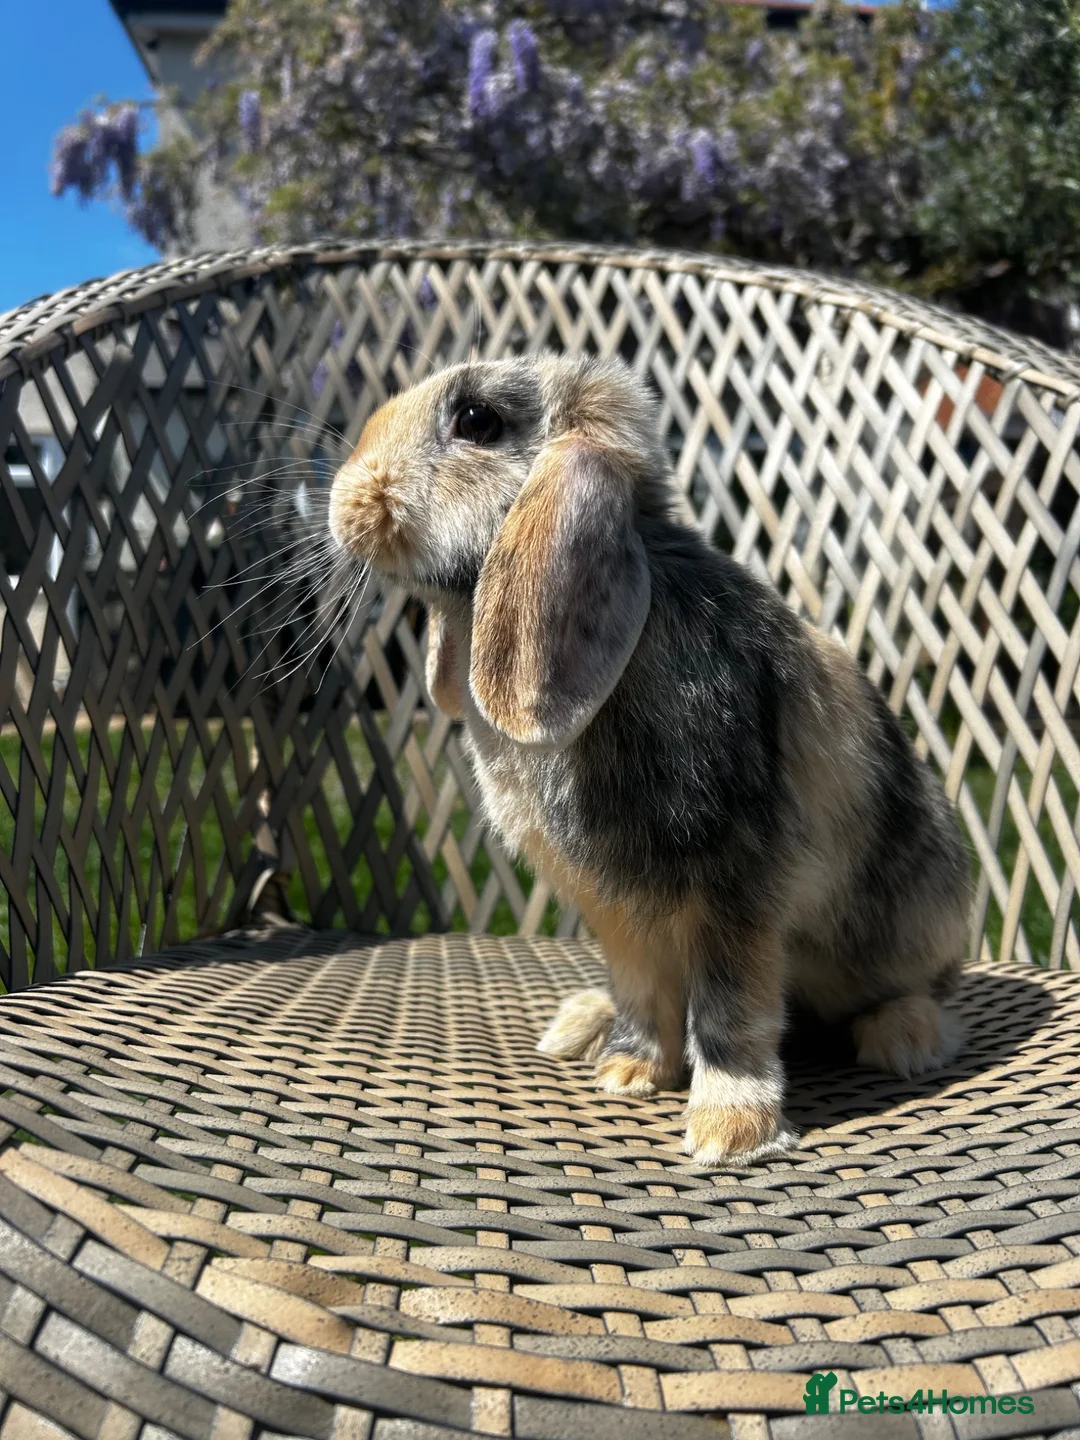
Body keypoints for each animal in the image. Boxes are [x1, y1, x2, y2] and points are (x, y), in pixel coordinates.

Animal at [328, 352, 972, 1166]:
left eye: (477, 420)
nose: (345, 496)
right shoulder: (616, 906)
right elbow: (642, 988)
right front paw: (628, 1072)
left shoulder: (736, 887)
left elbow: (731, 1010)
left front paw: (730, 1132)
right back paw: (582, 1024)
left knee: (922, 991)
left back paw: (903, 1040)